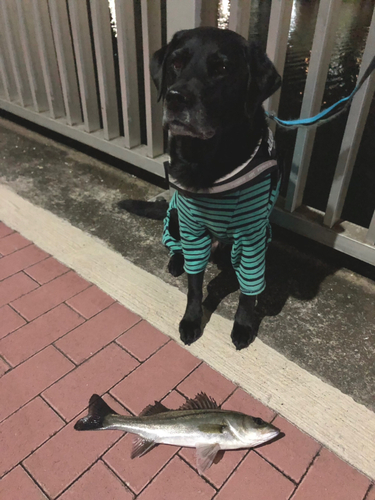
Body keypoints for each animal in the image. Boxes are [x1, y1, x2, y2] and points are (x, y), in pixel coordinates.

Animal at [123, 26, 282, 348]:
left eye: (221, 68)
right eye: (175, 63)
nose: (175, 98)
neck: (208, 161)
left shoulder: (252, 235)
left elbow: (249, 289)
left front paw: (243, 324)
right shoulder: (192, 227)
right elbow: (195, 285)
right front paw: (192, 320)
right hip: (174, 217)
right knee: (176, 247)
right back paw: (176, 261)